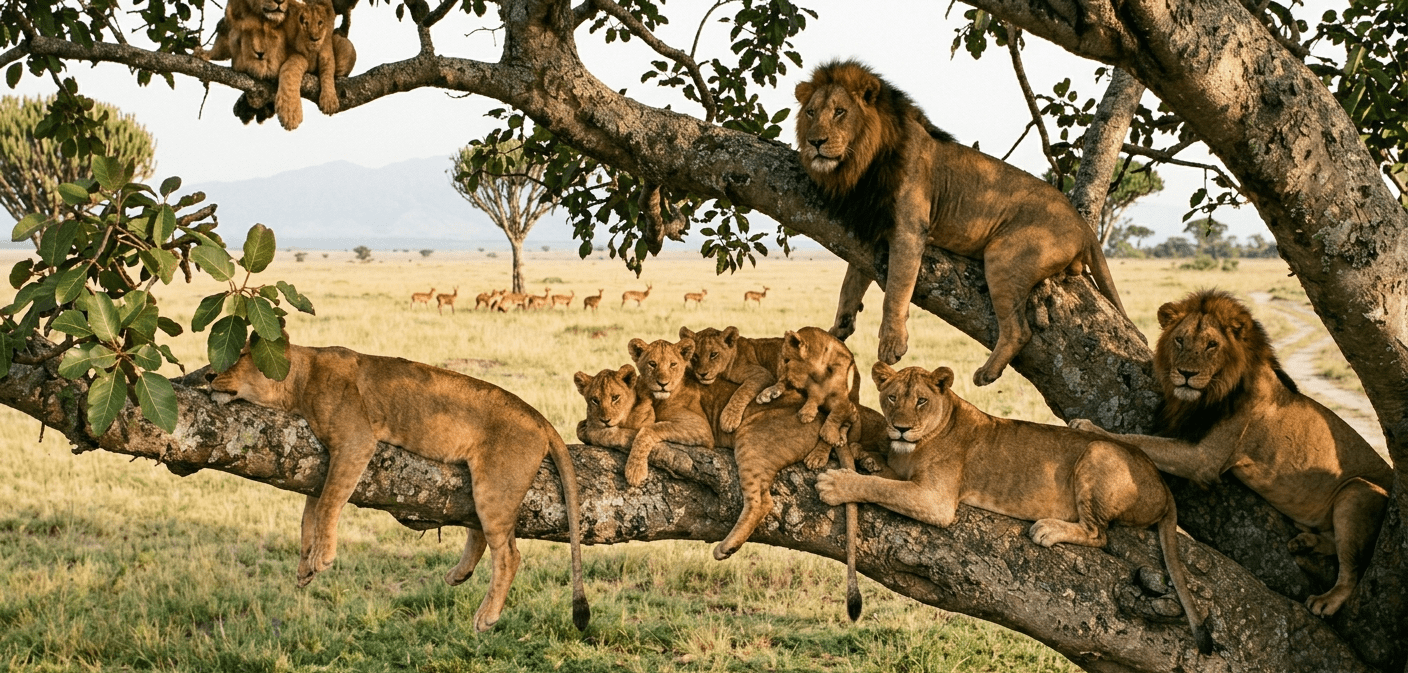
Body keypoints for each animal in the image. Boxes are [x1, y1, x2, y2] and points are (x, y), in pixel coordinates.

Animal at [208, 342, 589, 632]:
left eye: (239, 356)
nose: (209, 376)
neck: (302, 377)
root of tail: (539, 417)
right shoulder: (321, 465)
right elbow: (309, 517)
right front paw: (305, 568)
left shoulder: (355, 442)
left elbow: (330, 502)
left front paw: (323, 557)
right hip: (483, 485)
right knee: (480, 533)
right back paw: (459, 575)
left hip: (495, 487)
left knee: (509, 554)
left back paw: (486, 616)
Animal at [274, 0, 356, 130]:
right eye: (305, 23)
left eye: (320, 23)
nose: (314, 39)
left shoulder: (326, 50)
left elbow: (327, 72)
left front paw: (329, 100)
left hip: (344, 45)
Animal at [795, 60, 1125, 386]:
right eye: (811, 113)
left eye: (840, 112)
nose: (815, 142)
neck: (862, 166)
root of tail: (1082, 224)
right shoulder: (870, 227)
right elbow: (850, 284)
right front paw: (838, 329)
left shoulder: (909, 230)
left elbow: (895, 292)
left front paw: (892, 343)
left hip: (1004, 256)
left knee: (1019, 331)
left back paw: (988, 372)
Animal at [817, 361, 1212, 653]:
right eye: (892, 397)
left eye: (921, 401)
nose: (899, 428)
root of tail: (1162, 485)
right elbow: (886, 476)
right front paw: (868, 456)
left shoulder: (936, 499)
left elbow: (881, 487)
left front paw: (836, 484)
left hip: (1099, 450)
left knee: (1099, 533)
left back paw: (1048, 529)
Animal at [1069, 290, 1392, 617]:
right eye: (1180, 340)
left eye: (1212, 345)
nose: (1186, 374)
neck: (1209, 393)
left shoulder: (1204, 457)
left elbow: (1140, 441)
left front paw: (1087, 426)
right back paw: (1306, 542)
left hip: (1358, 490)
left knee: (1352, 568)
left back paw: (1327, 598)